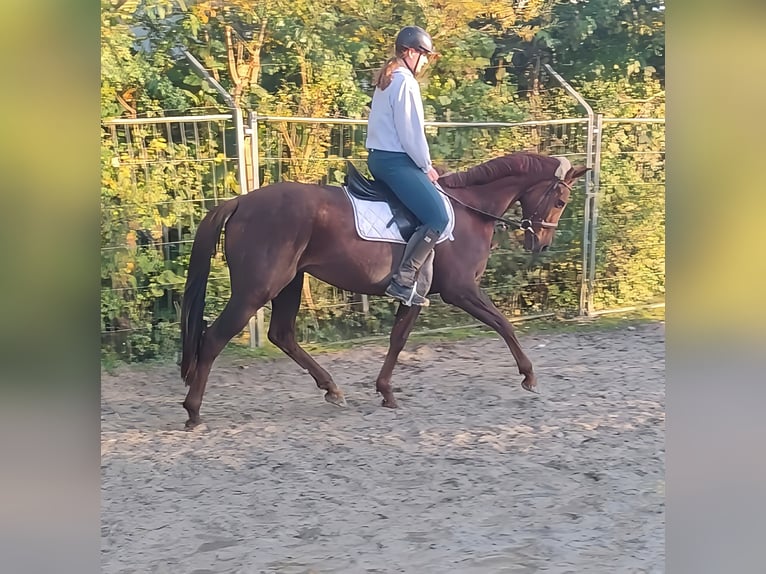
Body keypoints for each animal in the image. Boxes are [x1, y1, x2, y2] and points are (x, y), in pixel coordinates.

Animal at [178, 151, 588, 430]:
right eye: (561, 200)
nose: (541, 244)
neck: (470, 213)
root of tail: (239, 202)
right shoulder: (461, 290)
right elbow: (503, 324)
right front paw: (529, 376)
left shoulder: (416, 296)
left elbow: (397, 339)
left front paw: (386, 391)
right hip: (256, 290)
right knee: (213, 339)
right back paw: (193, 411)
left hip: (290, 283)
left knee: (282, 334)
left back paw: (332, 389)